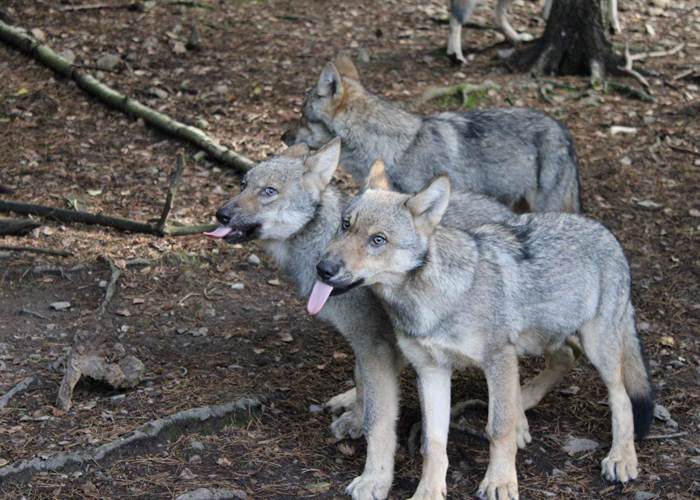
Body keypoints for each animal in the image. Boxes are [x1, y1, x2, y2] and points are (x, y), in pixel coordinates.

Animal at [206, 141, 578, 500]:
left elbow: (380, 421)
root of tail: (511, 216)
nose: (220, 213)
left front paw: (375, 479)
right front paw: (355, 414)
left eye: (269, 191)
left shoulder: (375, 342)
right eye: (243, 184)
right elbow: (364, 385)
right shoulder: (369, 344)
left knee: (557, 357)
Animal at [314, 162, 654, 500]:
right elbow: (433, 443)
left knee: (621, 397)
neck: (433, 299)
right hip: (539, 339)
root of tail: (605, 232)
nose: (323, 268)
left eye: (378, 240)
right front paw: (429, 492)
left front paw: (500, 482)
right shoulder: (432, 371)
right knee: (566, 356)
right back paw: (524, 402)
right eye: (345, 225)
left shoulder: (498, 358)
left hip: (597, 348)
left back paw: (622, 458)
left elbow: (498, 429)